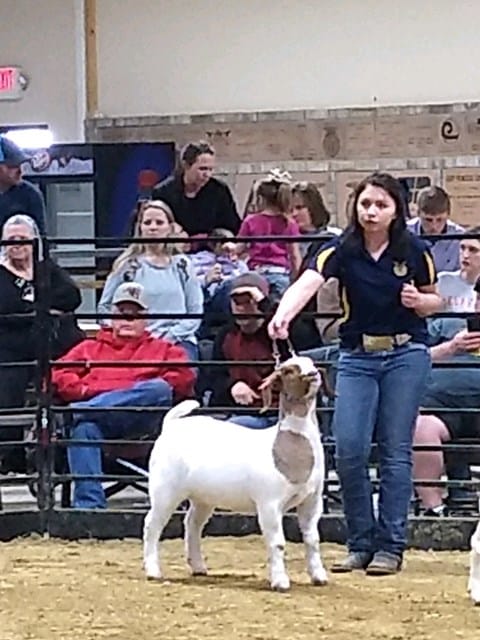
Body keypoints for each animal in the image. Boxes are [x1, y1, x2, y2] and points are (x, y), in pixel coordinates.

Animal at [142, 354, 328, 592]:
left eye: (312, 364)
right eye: (288, 370)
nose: (313, 375)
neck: (286, 446)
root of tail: (171, 426)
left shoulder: (312, 501)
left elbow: (313, 540)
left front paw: (319, 577)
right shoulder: (269, 503)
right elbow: (277, 543)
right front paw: (280, 582)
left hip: (203, 497)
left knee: (192, 524)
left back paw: (199, 566)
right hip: (164, 489)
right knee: (152, 525)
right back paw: (153, 571)